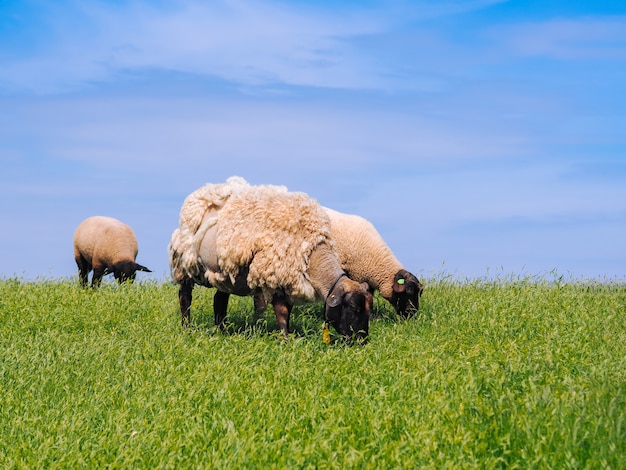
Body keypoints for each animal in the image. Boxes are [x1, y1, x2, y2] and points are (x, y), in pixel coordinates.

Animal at [167, 177, 370, 342]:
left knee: (219, 300)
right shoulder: (274, 276)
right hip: (185, 264)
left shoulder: (287, 280)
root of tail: (205, 191)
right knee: (185, 297)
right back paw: (187, 328)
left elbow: (286, 311)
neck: (311, 250)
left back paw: (221, 331)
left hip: (224, 273)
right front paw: (285, 340)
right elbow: (282, 311)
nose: (362, 341)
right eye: (353, 307)